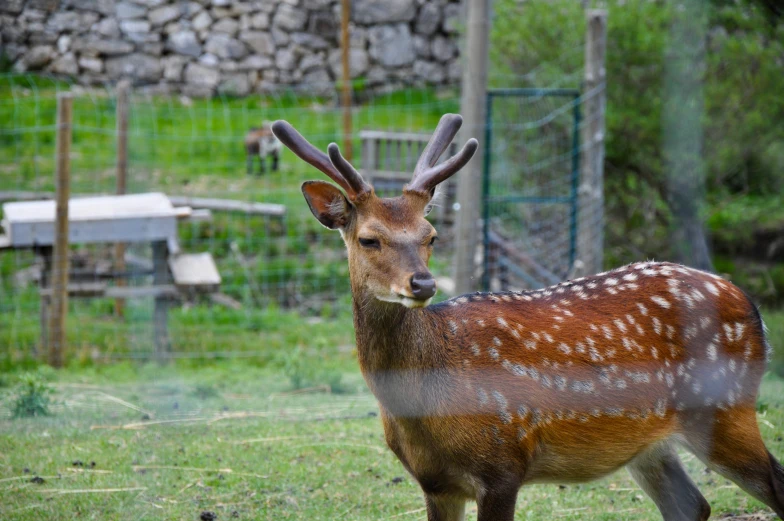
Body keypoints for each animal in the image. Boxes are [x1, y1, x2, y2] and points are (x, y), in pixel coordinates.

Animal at [272, 115, 784, 520]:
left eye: (431, 235)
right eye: (369, 239)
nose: (422, 284)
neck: (424, 406)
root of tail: (751, 305)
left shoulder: (503, 463)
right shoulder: (436, 483)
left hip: (724, 406)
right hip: (652, 443)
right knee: (692, 504)